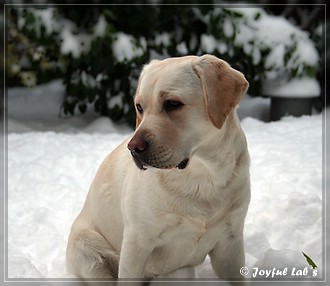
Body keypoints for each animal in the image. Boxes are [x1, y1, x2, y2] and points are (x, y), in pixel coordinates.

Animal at [65, 54, 251, 280]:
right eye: (139, 107)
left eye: (172, 103)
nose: (133, 148)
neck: (203, 177)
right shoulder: (137, 242)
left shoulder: (230, 241)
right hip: (88, 252)